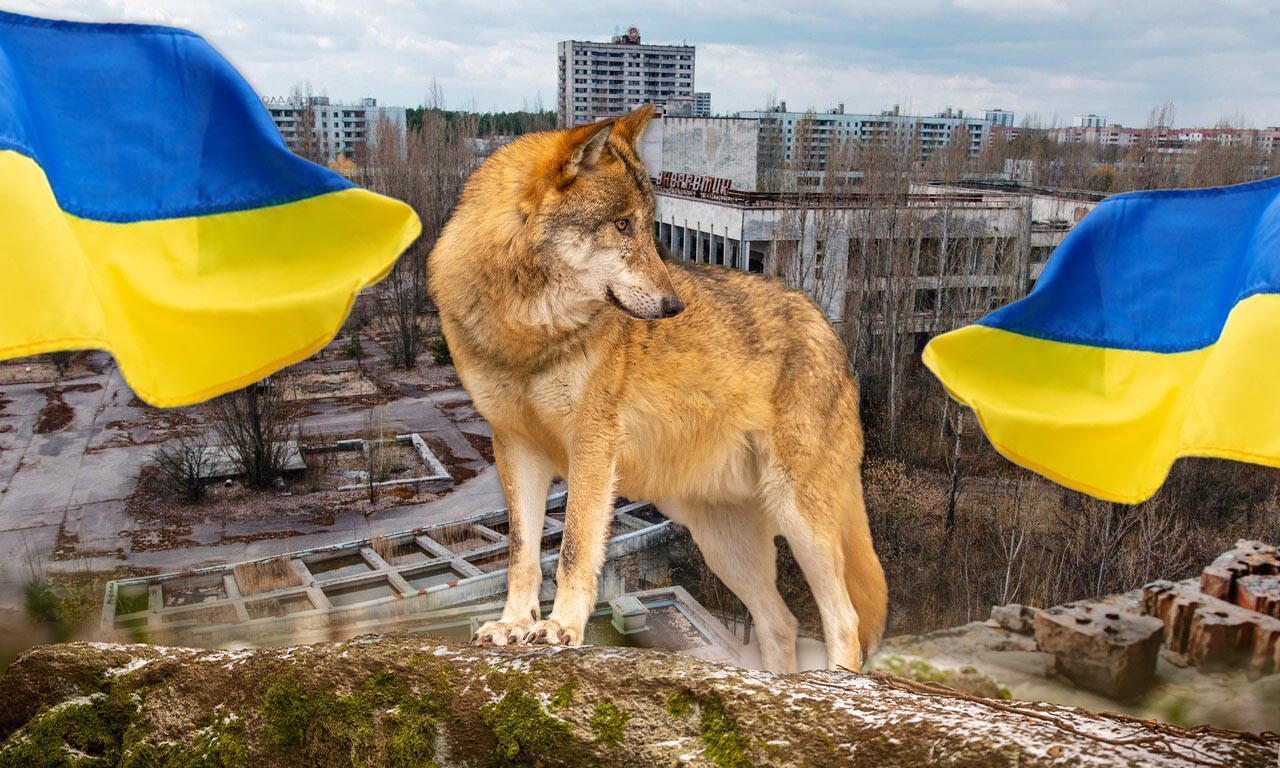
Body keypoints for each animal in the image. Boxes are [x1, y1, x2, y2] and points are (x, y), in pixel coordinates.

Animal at [424, 103, 885, 670]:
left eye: (648, 226)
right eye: (623, 225)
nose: (673, 307)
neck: (528, 333)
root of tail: (830, 332)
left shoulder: (592, 445)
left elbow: (574, 547)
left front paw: (559, 628)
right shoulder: (515, 447)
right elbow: (522, 554)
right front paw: (513, 625)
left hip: (800, 517)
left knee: (844, 621)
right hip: (722, 542)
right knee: (781, 623)